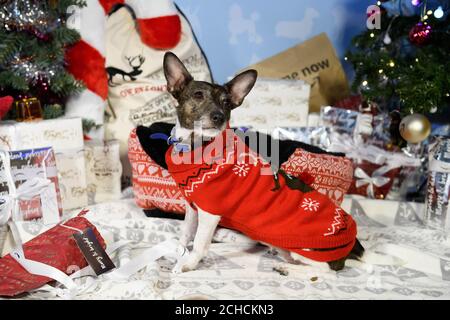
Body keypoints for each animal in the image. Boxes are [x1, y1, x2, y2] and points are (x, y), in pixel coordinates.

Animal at [162, 51, 366, 274]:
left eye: (227, 103)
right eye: (198, 95)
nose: (219, 117)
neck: (195, 146)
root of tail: (353, 245)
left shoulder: (210, 213)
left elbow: (199, 243)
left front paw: (187, 264)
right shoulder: (192, 208)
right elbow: (186, 233)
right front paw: (177, 250)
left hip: (307, 249)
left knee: (326, 271)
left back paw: (285, 268)